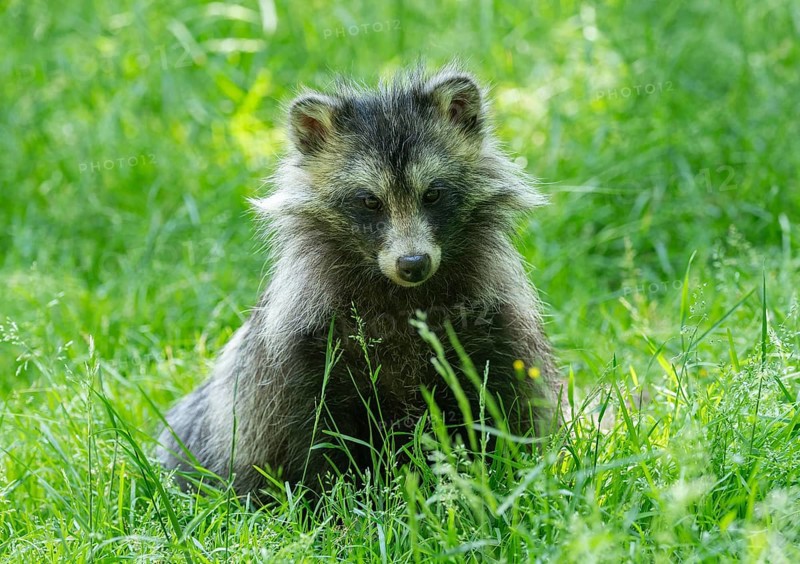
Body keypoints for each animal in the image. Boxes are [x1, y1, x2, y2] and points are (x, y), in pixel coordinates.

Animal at [157, 65, 561, 500]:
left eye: (433, 194)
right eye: (369, 201)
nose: (413, 263)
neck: (403, 296)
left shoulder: (488, 320)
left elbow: (498, 400)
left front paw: (496, 473)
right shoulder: (301, 346)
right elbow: (311, 432)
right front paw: (332, 500)